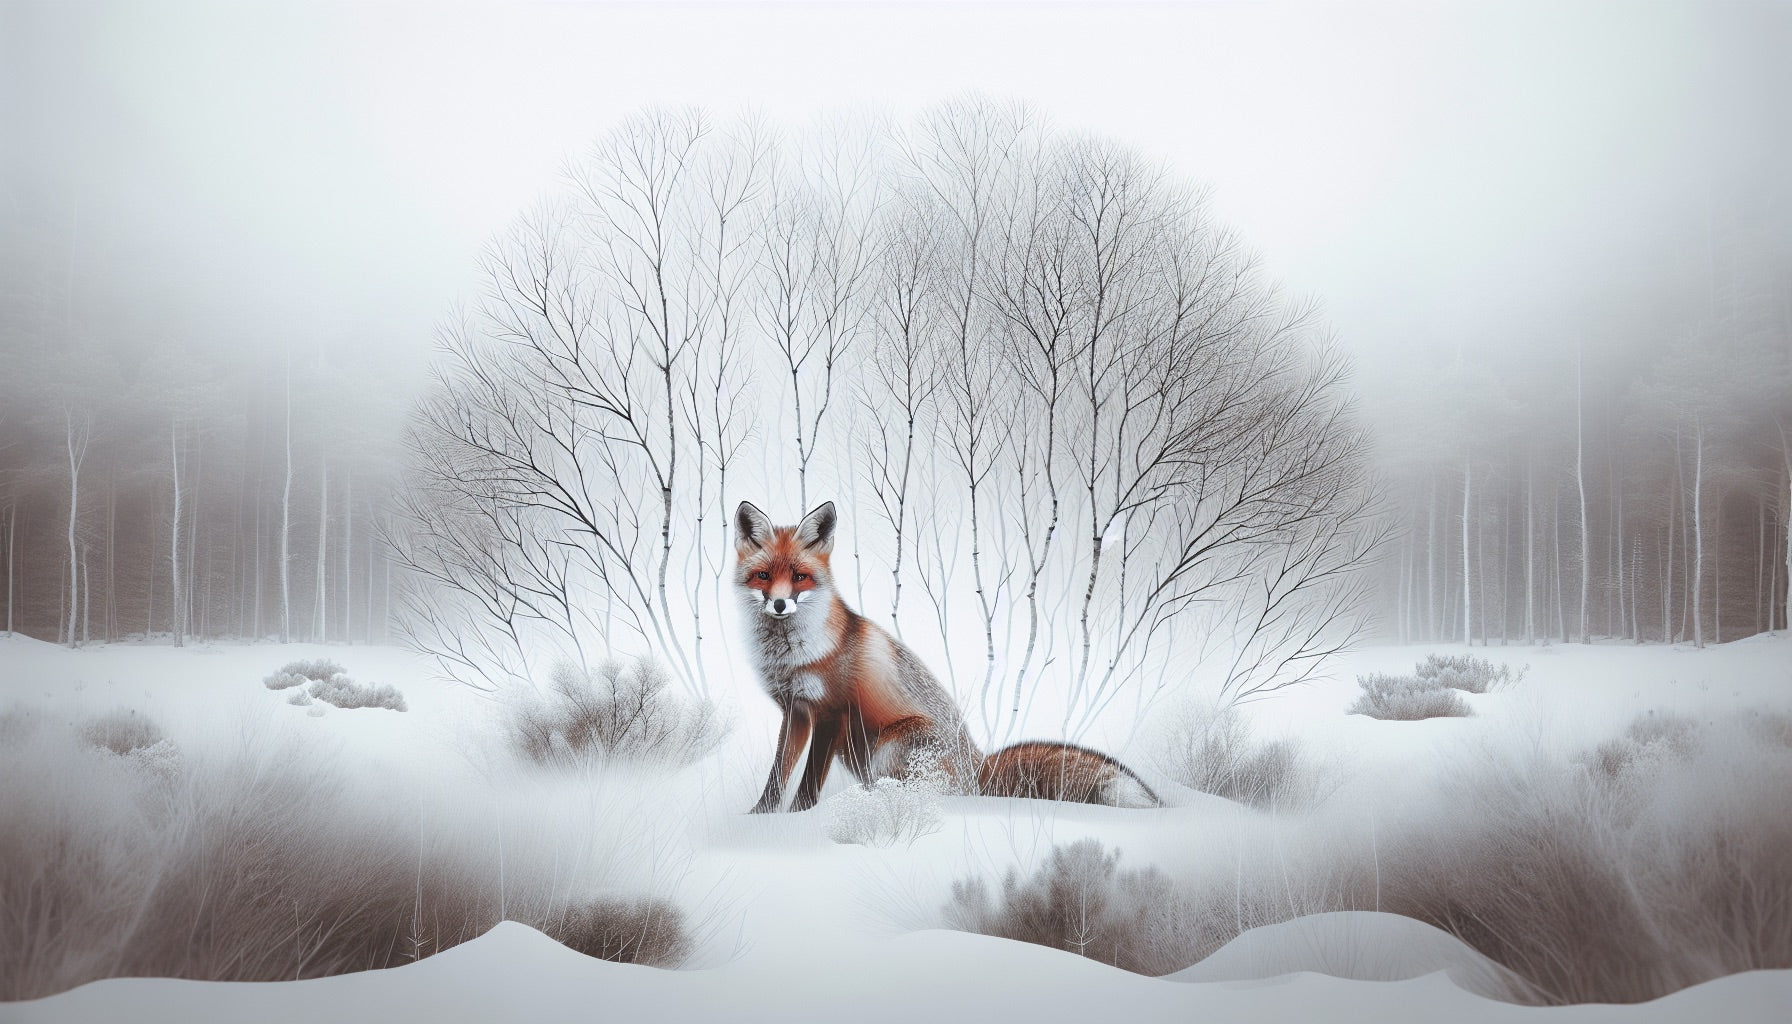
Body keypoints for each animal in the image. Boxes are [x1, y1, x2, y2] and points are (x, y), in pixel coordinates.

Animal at [735, 500, 1159, 813]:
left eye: (800, 577)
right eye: (763, 576)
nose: (779, 604)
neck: (790, 655)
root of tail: (978, 767)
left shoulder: (831, 712)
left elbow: (807, 783)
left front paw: (797, 819)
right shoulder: (795, 710)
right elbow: (777, 775)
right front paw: (760, 817)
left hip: (888, 748)